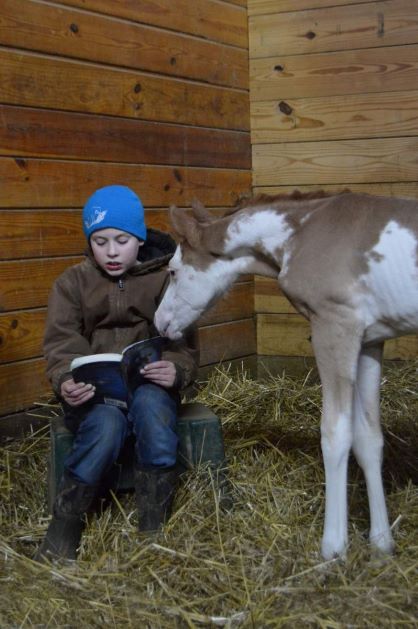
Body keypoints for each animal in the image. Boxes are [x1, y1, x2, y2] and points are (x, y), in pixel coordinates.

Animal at [154, 191, 418, 560]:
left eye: (174, 271)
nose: (159, 322)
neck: (302, 234)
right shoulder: (370, 340)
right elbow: (369, 438)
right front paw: (381, 543)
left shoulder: (334, 326)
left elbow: (335, 434)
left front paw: (333, 549)